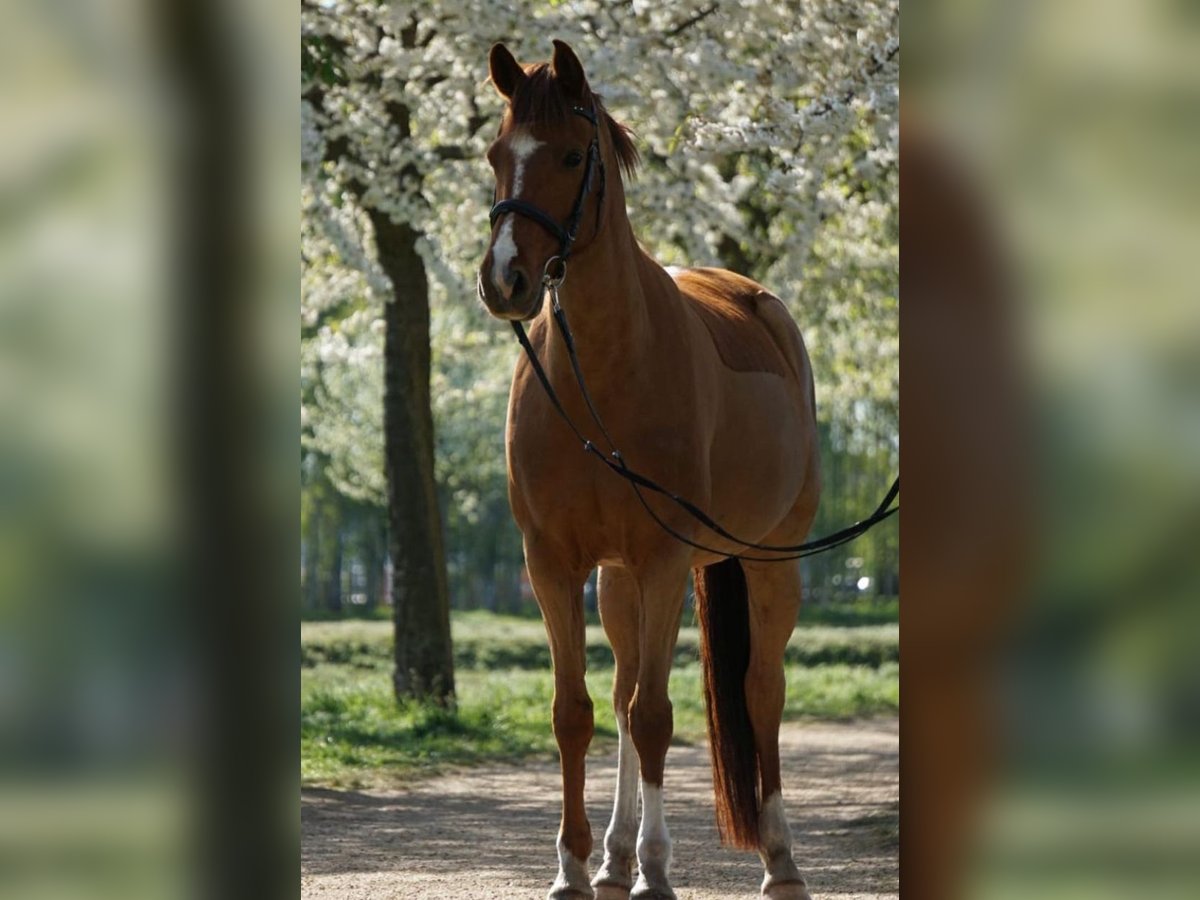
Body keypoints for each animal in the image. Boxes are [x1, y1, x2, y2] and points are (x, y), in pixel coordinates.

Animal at [477, 38, 825, 897]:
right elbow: (579, 712)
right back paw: (613, 854)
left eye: (572, 155)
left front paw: (658, 869)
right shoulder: (554, 564)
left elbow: (657, 715)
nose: (504, 280)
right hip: (619, 582)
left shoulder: (666, 559)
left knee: (758, 693)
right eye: (497, 154)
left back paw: (780, 859)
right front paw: (574, 864)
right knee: (624, 691)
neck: (601, 371)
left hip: (769, 563)